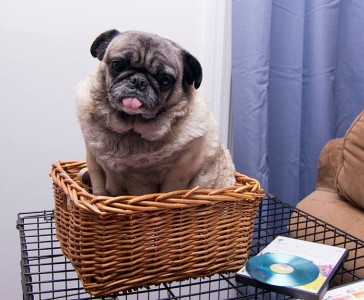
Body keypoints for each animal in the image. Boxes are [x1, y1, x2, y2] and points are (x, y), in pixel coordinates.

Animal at [77, 29, 236, 196]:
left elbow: (169, 192)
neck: (130, 130)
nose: (138, 81)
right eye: (118, 65)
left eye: (165, 80)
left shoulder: (177, 174)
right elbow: (98, 189)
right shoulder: (94, 163)